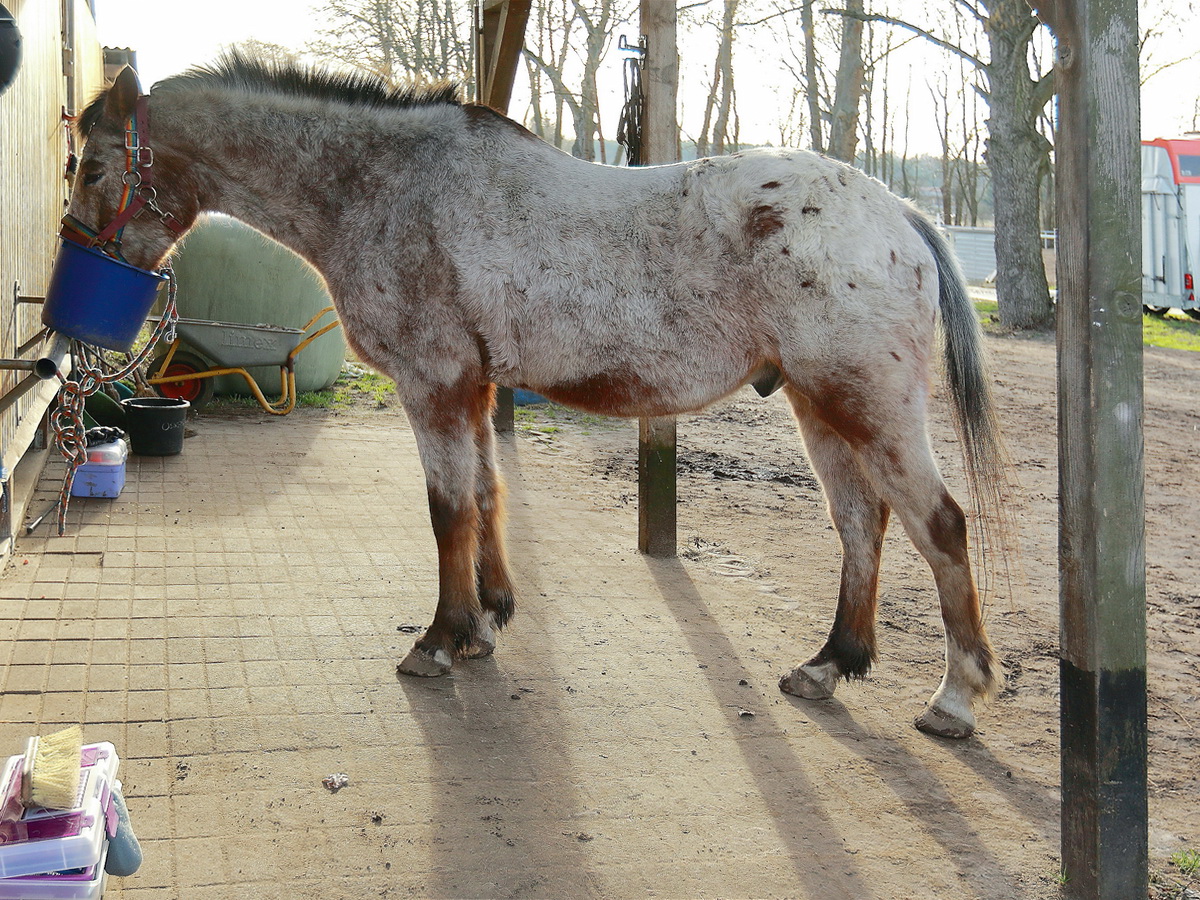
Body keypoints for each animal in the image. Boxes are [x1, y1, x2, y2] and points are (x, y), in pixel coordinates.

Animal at [60, 52, 1008, 734]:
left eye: (95, 167)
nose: (74, 256)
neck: (385, 186)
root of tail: (897, 212)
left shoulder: (435, 385)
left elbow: (448, 511)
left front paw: (440, 640)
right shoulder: (474, 388)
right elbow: (485, 495)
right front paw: (484, 623)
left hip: (866, 405)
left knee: (940, 526)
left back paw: (955, 699)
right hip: (819, 407)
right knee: (862, 524)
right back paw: (828, 664)